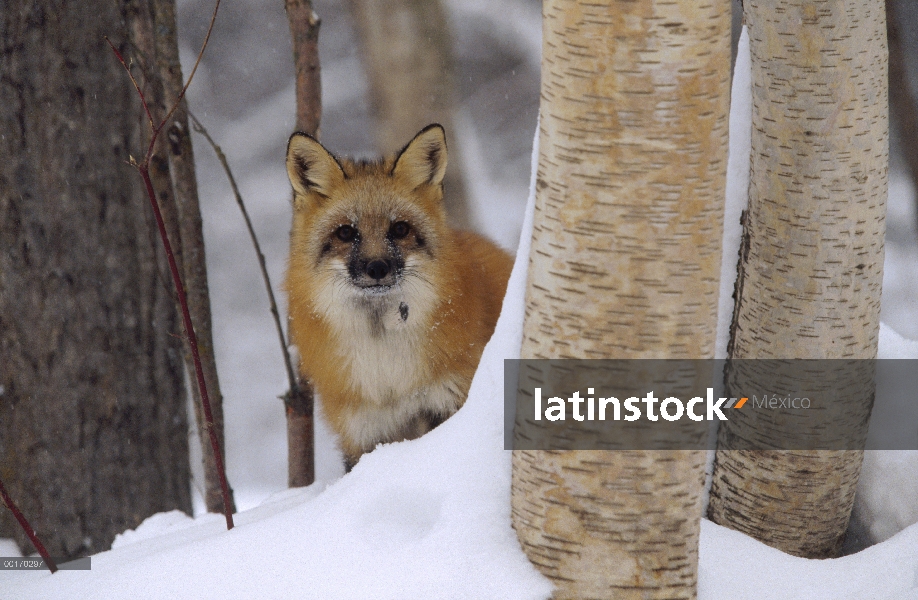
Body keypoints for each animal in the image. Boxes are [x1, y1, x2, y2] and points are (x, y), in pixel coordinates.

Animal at [284, 125, 512, 468]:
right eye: (346, 233)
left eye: (400, 229)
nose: (377, 267)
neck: (388, 376)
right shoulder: (363, 433)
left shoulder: (447, 401)